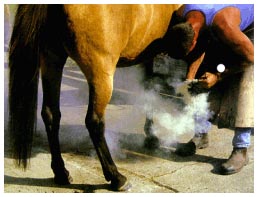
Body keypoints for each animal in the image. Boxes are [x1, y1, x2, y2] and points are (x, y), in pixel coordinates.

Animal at [8, 3, 180, 190]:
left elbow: (148, 88)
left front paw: (151, 135)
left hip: (51, 61)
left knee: (51, 115)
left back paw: (61, 172)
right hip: (101, 73)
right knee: (94, 122)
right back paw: (116, 177)